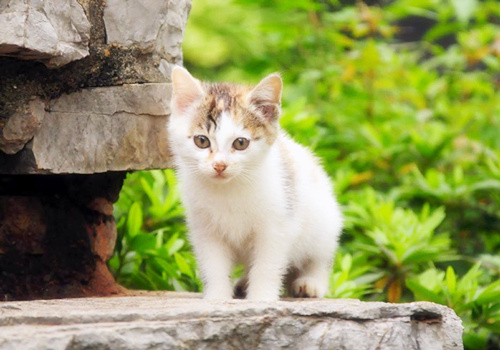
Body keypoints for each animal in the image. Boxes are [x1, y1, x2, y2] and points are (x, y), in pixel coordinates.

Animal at [169, 66, 344, 300]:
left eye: (240, 143)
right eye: (202, 141)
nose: (220, 165)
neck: (228, 190)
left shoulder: (277, 223)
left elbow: (267, 264)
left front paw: (261, 298)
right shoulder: (204, 228)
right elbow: (213, 264)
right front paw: (217, 296)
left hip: (325, 222)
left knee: (320, 256)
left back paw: (311, 283)